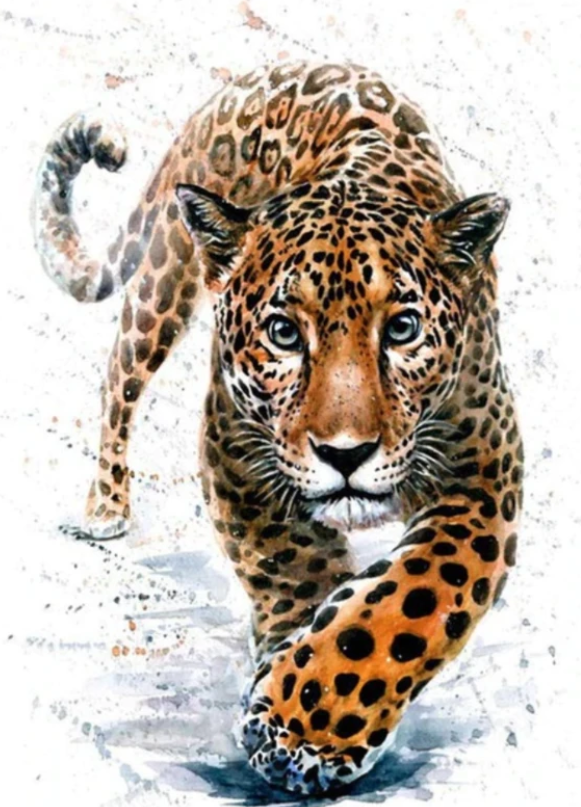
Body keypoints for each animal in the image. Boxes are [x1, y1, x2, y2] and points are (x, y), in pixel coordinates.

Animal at [34, 61, 523, 795]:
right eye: (284, 333)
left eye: (403, 328)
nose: (345, 453)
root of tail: (261, 73)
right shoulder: (236, 453)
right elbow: (293, 566)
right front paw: (297, 708)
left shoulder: (485, 473)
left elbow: (414, 596)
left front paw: (308, 722)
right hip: (163, 281)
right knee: (118, 376)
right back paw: (105, 505)